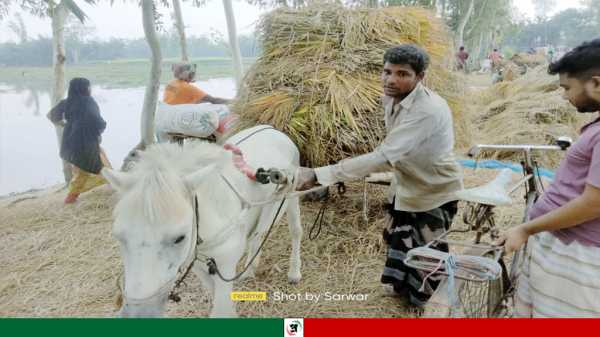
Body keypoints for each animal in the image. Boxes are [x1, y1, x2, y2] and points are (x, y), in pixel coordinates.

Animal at [101, 124, 304, 316]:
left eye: (180, 238)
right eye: (119, 237)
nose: (139, 312)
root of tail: (273, 129)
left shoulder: (225, 265)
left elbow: (221, 309)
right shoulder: (199, 264)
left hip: (291, 192)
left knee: (295, 231)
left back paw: (294, 272)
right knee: (258, 235)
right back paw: (249, 268)